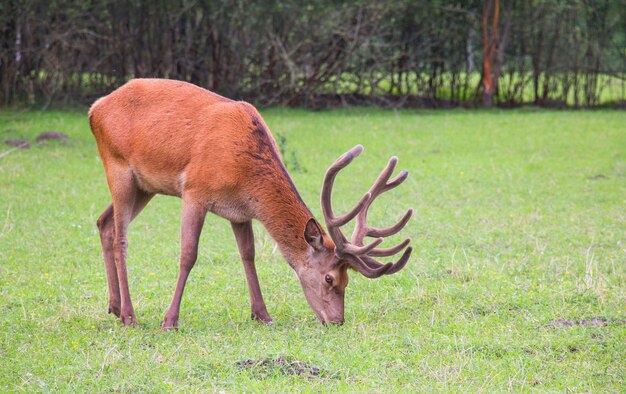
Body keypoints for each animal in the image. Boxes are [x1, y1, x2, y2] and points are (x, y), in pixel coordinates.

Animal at [86, 77, 410, 330]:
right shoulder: (194, 191)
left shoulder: (240, 212)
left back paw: (114, 306)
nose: (336, 321)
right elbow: (189, 254)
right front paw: (170, 320)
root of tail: (94, 108)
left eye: (347, 281)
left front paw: (262, 315)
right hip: (117, 167)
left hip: (145, 186)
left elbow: (248, 255)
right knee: (121, 238)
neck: (243, 172)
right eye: (329, 278)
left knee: (104, 222)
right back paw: (130, 316)